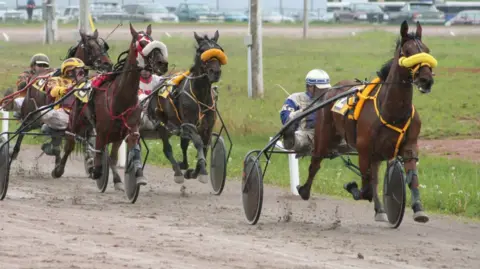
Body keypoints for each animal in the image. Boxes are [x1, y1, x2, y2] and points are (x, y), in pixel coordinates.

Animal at [50, 23, 169, 191]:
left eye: (152, 40)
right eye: (142, 43)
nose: (162, 63)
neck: (120, 98)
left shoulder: (129, 130)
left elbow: (120, 154)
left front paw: (134, 177)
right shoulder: (101, 131)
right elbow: (99, 154)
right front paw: (96, 171)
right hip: (75, 122)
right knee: (70, 144)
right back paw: (59, 169)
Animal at [144, 29, 227, 184]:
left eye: (219, 50)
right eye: (201, 51)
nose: (215, 72)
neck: (201, 96)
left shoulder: (207, 127)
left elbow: (205, 147)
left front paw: (195, 171)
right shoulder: (189, 124)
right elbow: (198, 143)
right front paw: (202, 172)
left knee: (183, 145)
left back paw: (183, 165)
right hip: (161, 124)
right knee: (167, 149)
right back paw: (177, 171)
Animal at [296, 20, 436, 222]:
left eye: (426, 50)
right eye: (408, 52)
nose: (426, 80)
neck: (392, 111)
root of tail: (331, 89)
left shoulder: (409, 146)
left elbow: (411, 179)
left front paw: (418, 209)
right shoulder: (364, 149)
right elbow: (366, 188)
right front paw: (351, 186)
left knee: (374, 178)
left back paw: (380, 210)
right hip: (324, 135)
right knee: (315, 163)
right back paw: (304, 190)